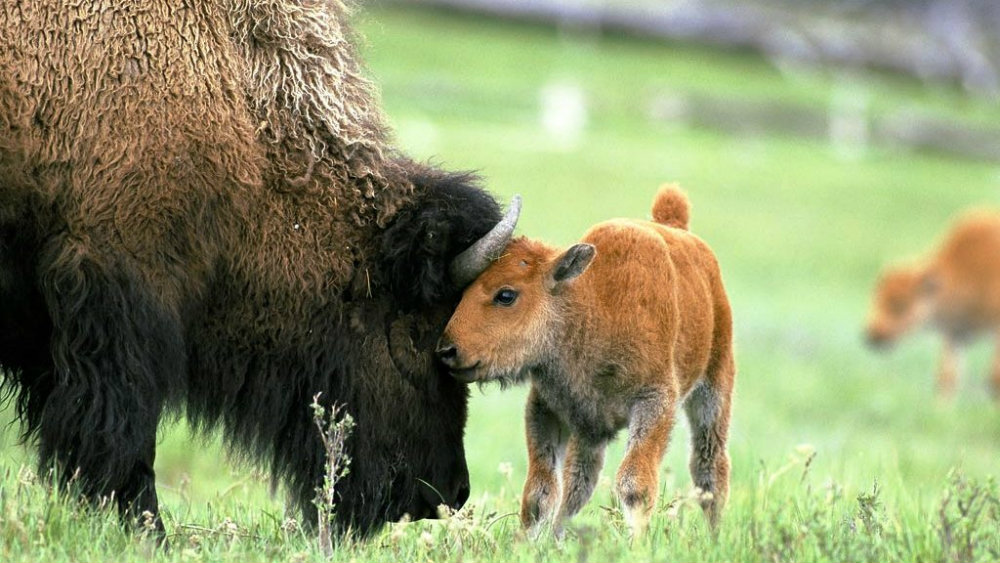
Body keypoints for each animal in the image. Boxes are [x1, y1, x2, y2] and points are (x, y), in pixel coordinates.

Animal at [438, 185, 736, 536]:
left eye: (506, 295)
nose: (447, 350)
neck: (591, 305)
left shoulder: (655, 402)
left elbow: (634, 484)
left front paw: (638, 542)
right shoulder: (549, 409)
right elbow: (540, 492)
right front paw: (527, 543)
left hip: (713, 390)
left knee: (709, 469)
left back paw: (714, 537)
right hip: (589, 431)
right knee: (578, 483)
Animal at [864, 208, 1000, 400]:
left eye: (901, 305)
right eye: (877, 300)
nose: (872, 336)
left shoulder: (996, 331)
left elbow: (994, 379)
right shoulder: (954, 335)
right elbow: (947, 377)